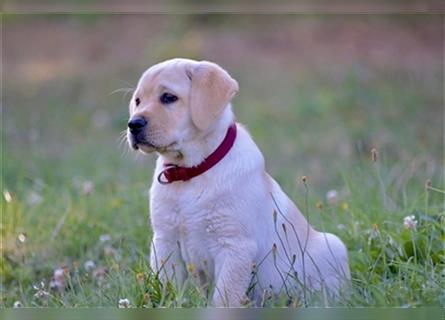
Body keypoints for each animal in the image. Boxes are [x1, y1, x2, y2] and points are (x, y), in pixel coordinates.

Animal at [126, 58, 348, 306]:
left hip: (334, 247)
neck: (191, 172)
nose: (133, 124)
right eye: (138, 100)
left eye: (168, 97)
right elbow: (169, 287)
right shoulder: (165, 241)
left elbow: (224, 296)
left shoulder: (235, 246)